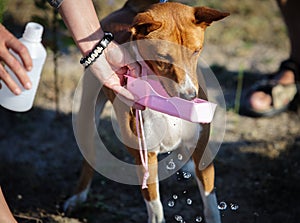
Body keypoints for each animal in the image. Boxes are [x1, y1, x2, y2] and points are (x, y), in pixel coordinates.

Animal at [63, 2, 227, 223]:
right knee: (88, 155)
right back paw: (78, 196)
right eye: (163, 57)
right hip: (87, 112)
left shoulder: (201, 148)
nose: (189, 96)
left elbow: (211, 204)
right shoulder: (145, 157)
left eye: (195, 51)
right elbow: (155, 206)